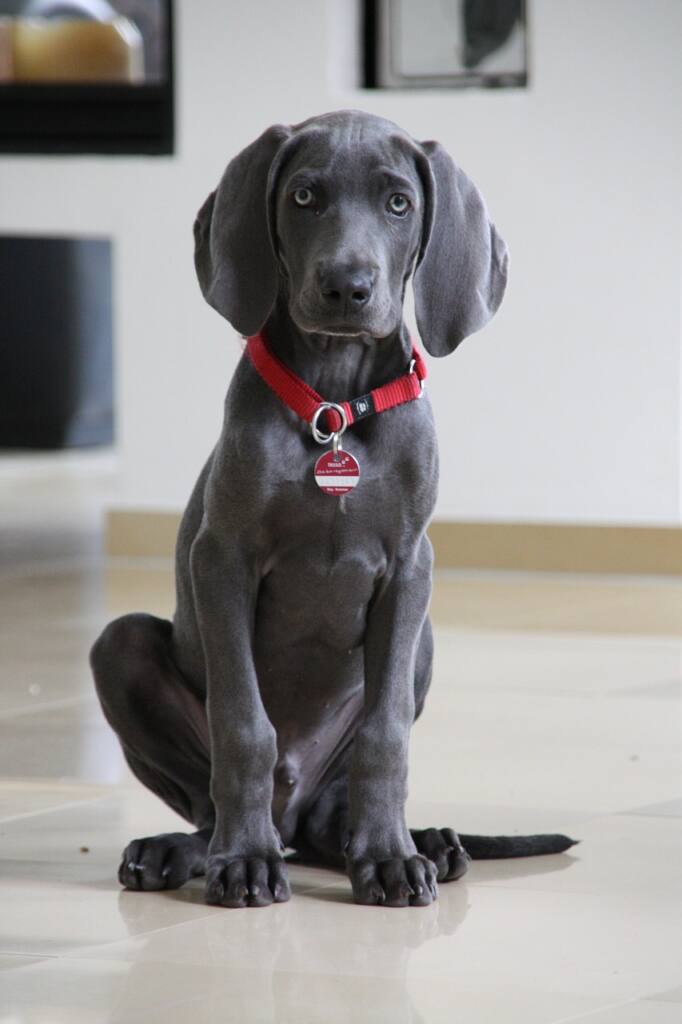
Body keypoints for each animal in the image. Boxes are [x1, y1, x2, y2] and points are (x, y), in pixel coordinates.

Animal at [90, 110, 573, 913]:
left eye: (399, 203)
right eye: (305, 196)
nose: (348, 286)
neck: (335, 404)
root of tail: (294, 817)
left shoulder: (410, 569)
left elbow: (386, 735)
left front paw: (387, 858)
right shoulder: (222, 560)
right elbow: (243, 725)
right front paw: (244, 862)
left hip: (423, 645)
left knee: (330, 815)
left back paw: (418, 843)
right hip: (117, 644)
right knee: (210, 802)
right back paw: (193, 850)